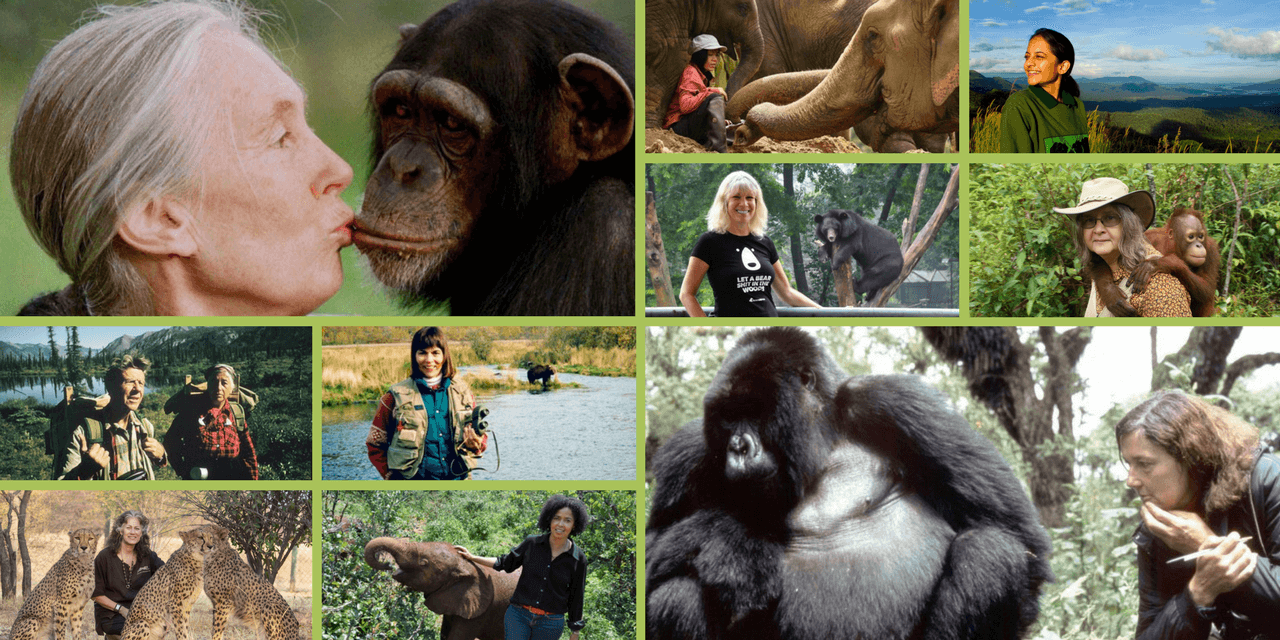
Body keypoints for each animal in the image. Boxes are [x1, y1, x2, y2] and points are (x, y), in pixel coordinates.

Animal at [645, 327, 1054, 637]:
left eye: (753, 411)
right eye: (727, 417)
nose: (738, 448)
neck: (822, 438)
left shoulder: (891, 400)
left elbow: (1017, 533)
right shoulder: (690, 452)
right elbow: (652, 554)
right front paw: (735, 544)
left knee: (992, 551)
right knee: (677, 594)